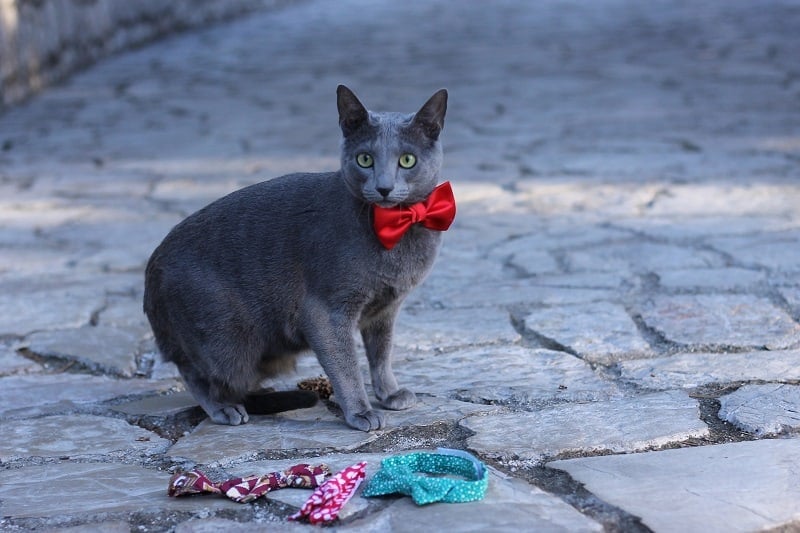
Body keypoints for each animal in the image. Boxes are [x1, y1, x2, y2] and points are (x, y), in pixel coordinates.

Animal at [144, 85, 454, 430]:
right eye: (365, 159)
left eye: (407, 160)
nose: (384, 187)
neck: (395, 230)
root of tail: (151, 269)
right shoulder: (326, 311)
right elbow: (346, 366)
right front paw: (361, 412)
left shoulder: (386, 309)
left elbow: (381, 354)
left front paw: (389, 393)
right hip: (226, 340)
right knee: (195, 372)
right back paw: (225, 408)